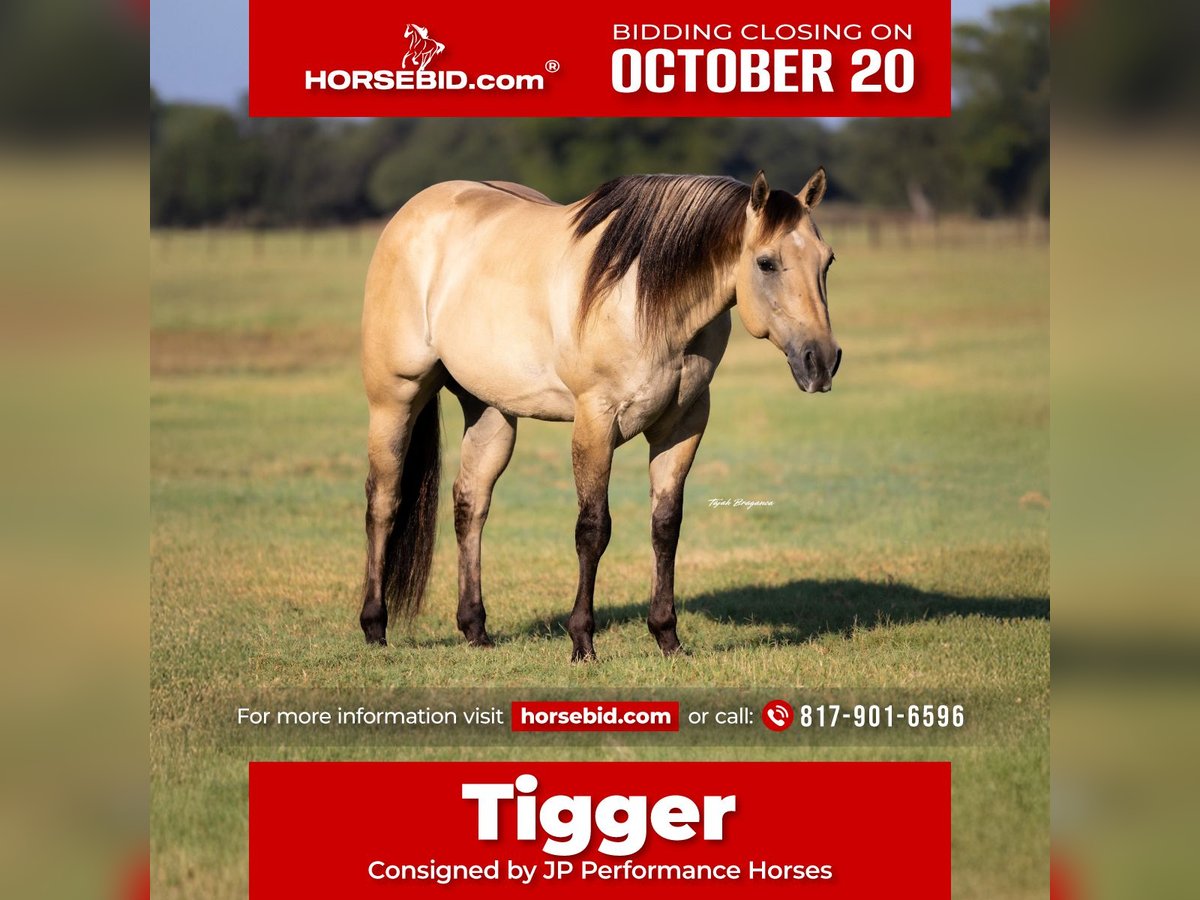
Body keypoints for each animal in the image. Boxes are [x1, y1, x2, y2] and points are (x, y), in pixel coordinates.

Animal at [358, 169, 841, 661]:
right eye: (766, 263)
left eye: (827, 261)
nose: (821, 361)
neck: (644, 299)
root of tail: (414, 211)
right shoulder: (596, 421)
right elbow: (593, 530)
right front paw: (582, 642)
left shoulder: (683, 425)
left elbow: (665, 526)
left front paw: (667, 637)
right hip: (395, 398)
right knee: (384, 501)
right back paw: (375, 627)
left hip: (491, 412)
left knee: (470, 504)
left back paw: (475, 629)